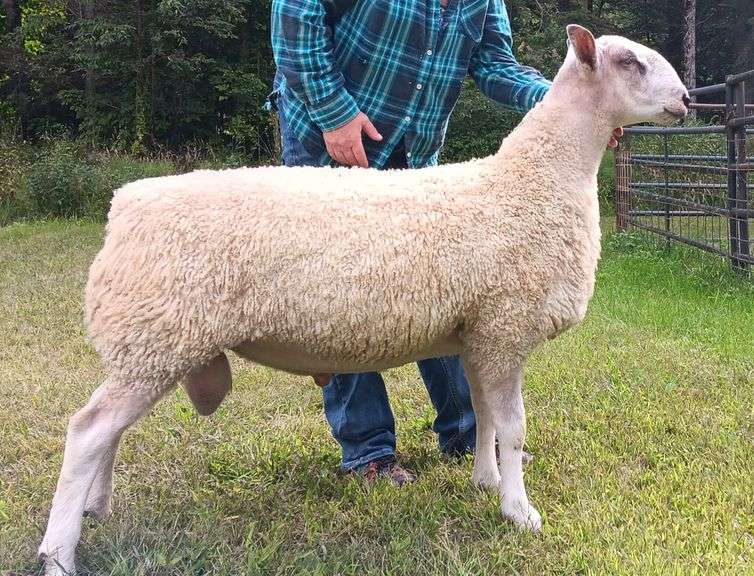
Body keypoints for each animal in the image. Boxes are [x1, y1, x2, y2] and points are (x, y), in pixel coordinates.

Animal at [38, 25, 688, 575]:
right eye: (629, 62)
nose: (686, 100)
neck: (531, 183)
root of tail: (123, 205)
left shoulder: (480, 333)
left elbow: (482, 417)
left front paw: (484, 480)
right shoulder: (506, 326)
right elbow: (513, 426)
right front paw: (519, 512)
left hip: (150, 343)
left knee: (109, 431)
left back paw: (97, 509)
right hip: (157, 334)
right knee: (87, 431)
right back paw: (59, 552)